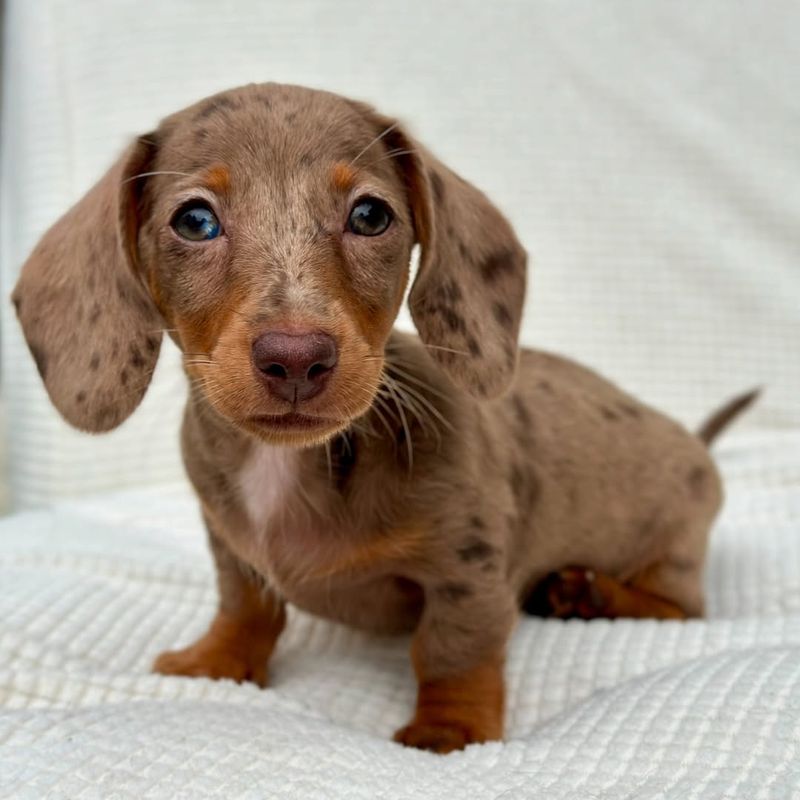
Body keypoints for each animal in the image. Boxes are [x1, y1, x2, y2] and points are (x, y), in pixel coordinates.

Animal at [10, 84, 756, 752]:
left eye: (370, 215)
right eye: (194, 221)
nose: (296, 358)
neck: (290, 466)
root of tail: (695, 441)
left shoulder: (468, 569)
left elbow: (453, 648)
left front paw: (450, 732)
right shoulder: (228, 544)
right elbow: (245, 603)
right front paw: (217, 661)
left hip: (675, 548)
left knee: (683, 608)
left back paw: (588, 593)